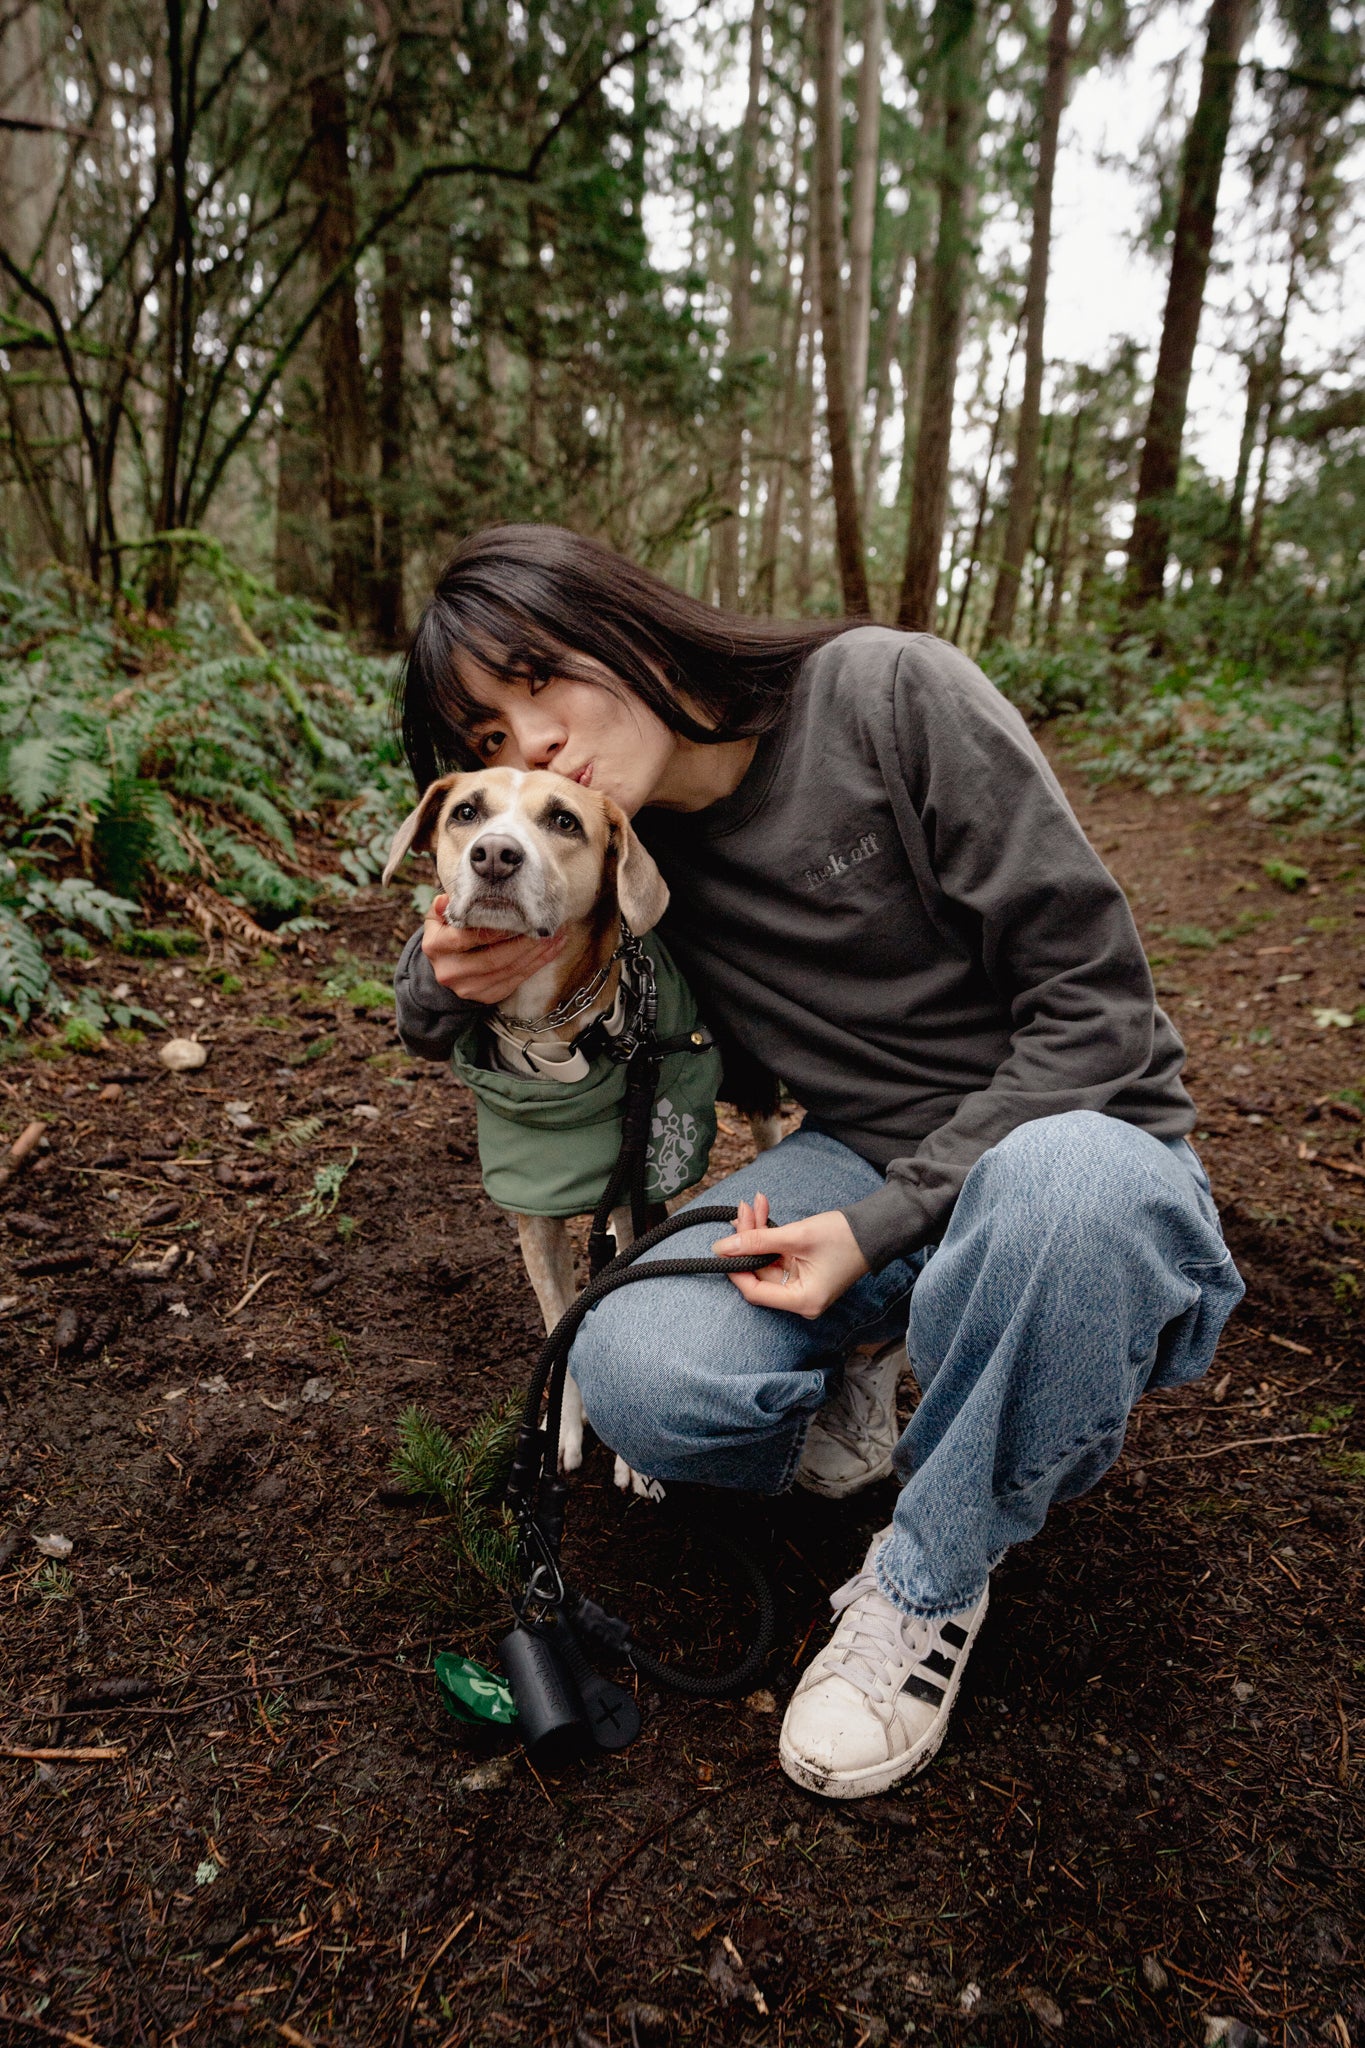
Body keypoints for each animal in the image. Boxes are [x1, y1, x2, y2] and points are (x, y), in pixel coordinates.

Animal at [388, 761, 785, 1499]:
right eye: (465, 813)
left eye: (564, 822)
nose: (494, 854)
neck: (554, 1039)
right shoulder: (533, 1217)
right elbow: (560, 1320)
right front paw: (561, 1427)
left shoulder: (637, 1193)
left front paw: (634, 1461)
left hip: (756, 1089)